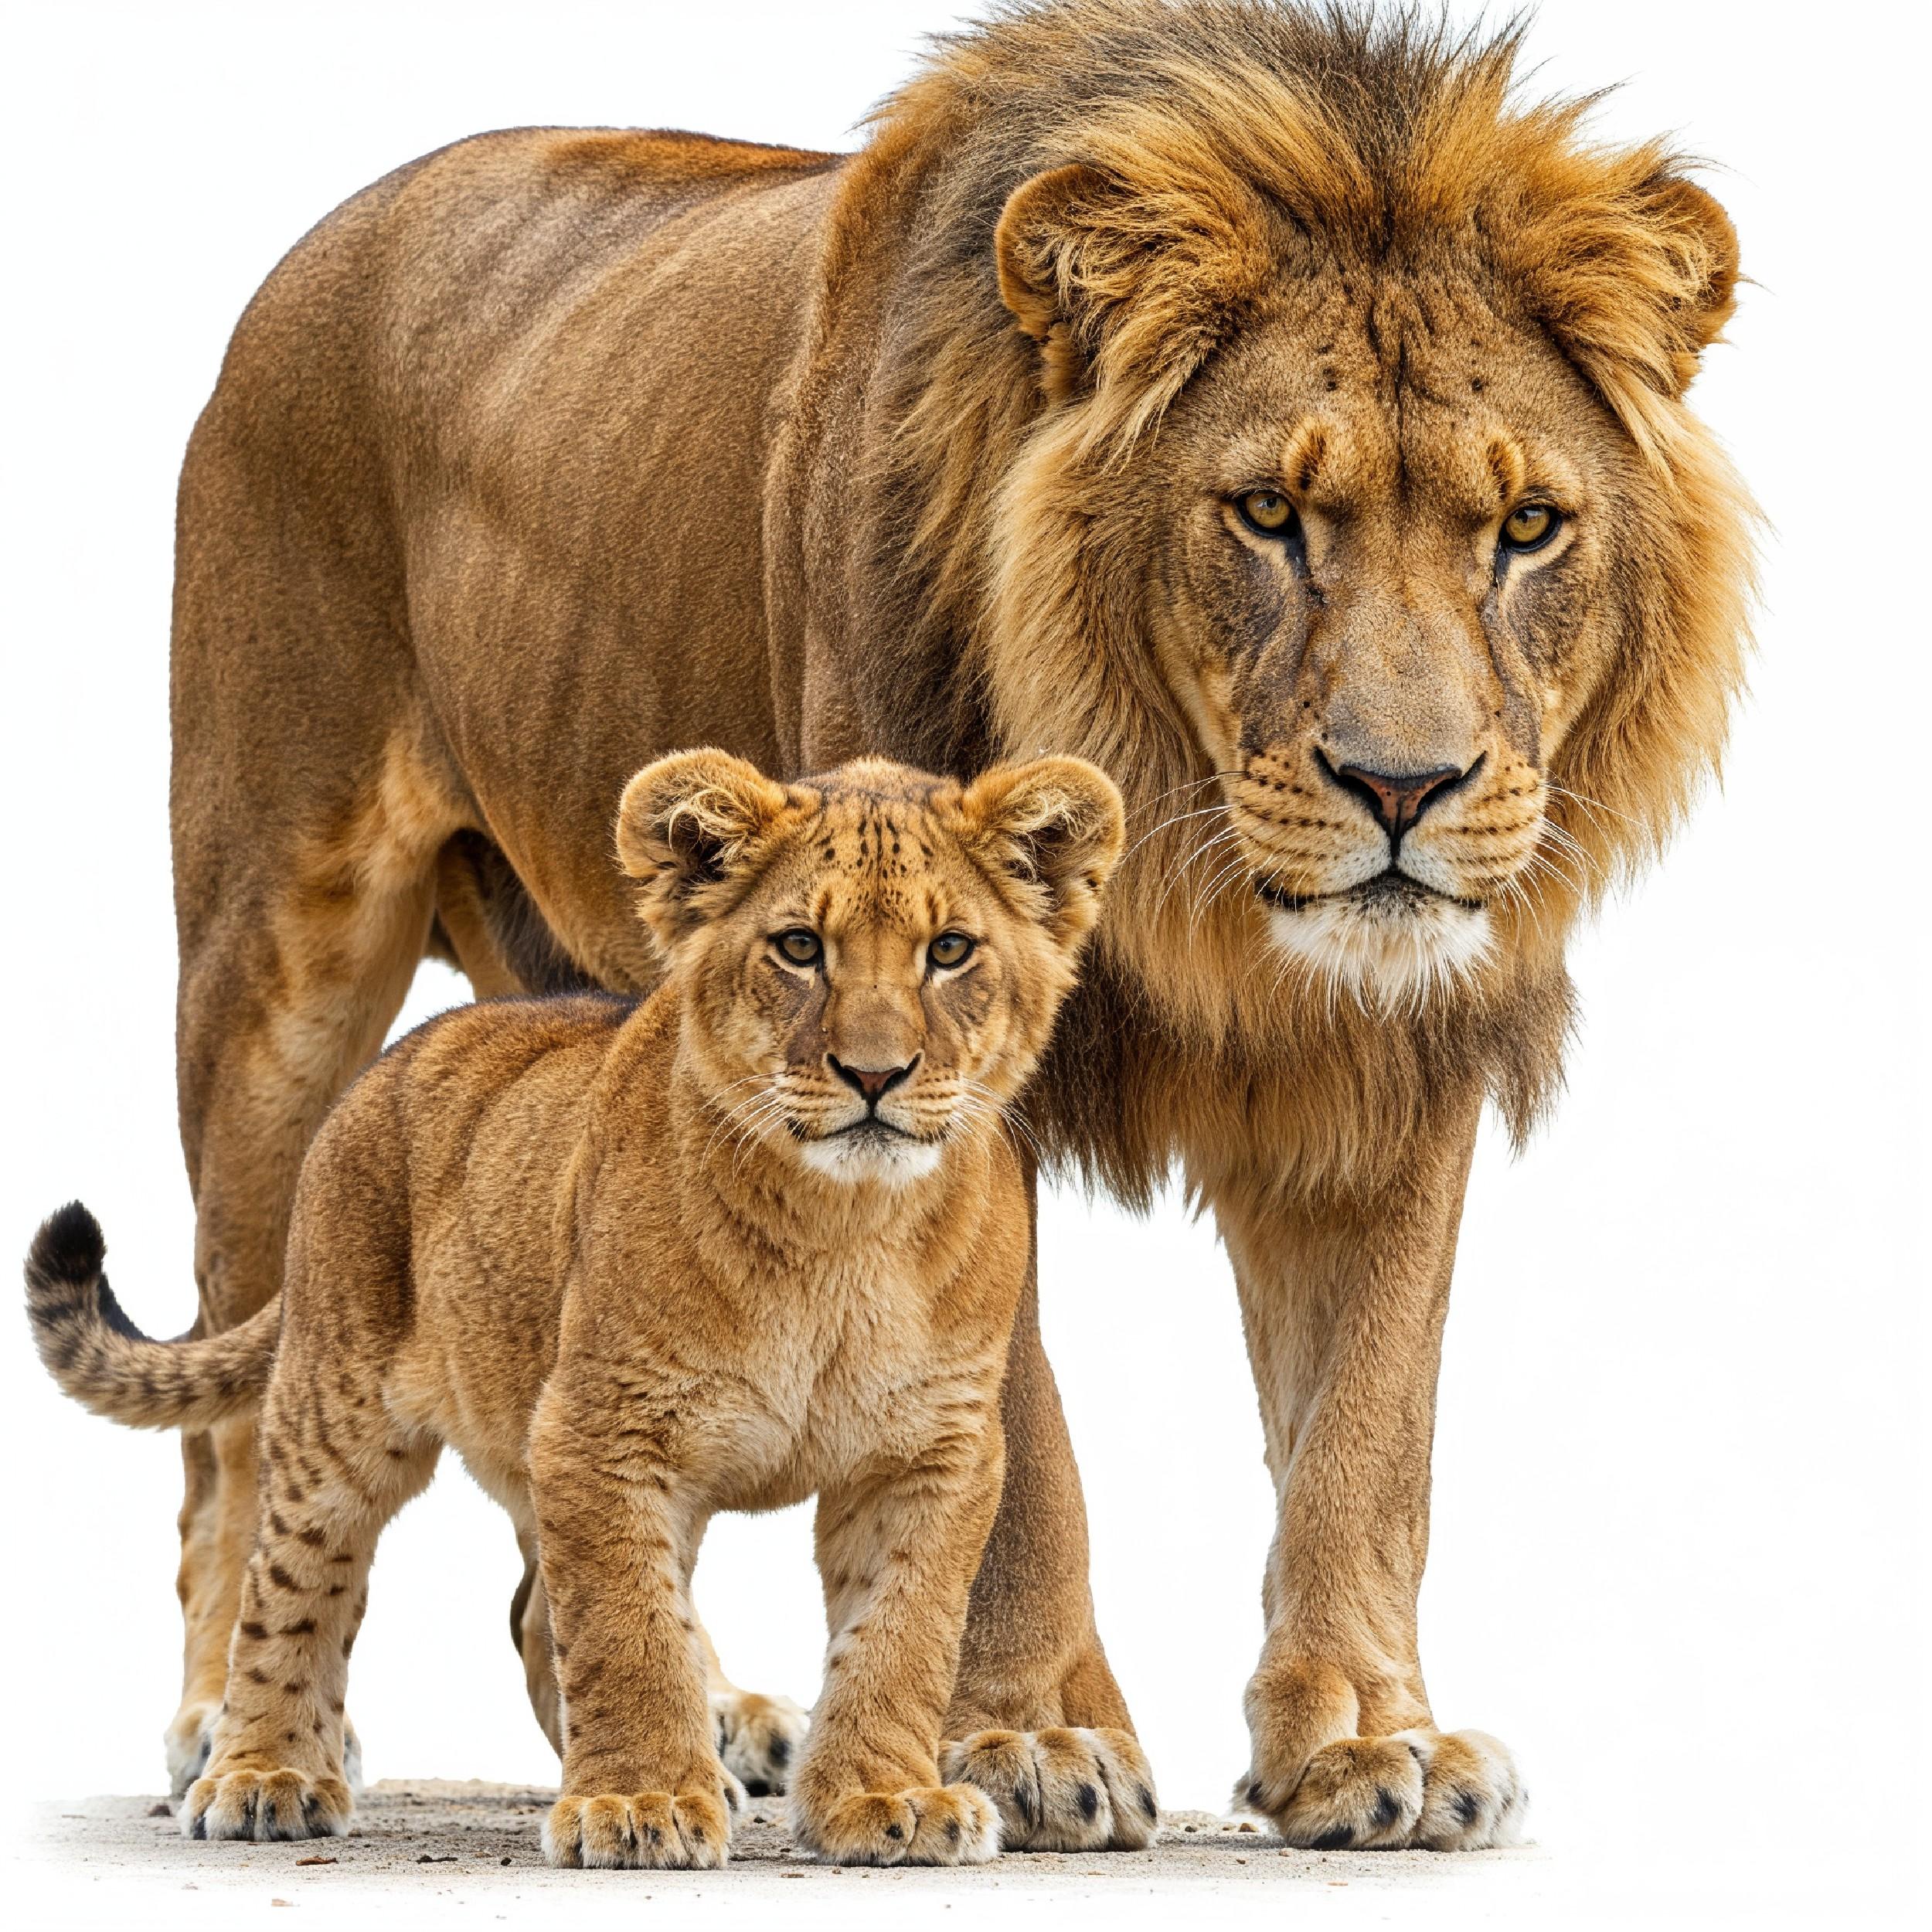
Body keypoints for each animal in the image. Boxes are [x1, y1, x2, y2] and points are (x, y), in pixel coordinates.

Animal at [28, 749, 1137, 1868]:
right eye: (799, 947)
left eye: (950, 951)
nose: (875, 1074)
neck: (845, 1232)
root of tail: (395, 1057)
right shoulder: (600, 1428)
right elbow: (626, 1628)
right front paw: (639, 1804)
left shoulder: (929, 1451)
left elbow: (899, 1635)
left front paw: (881, 1799)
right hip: (338, 1399)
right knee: (293, 1581)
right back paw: (263, 1776)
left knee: (539, 1612)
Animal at [150, 0, 1752, 1850]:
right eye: (1268, 514)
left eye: (1527, 528)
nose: (1403, 787)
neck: (1207, 907)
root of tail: (325, 236)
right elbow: (1023, 1441)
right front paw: (1033, 1736)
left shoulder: (1395, 1064)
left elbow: (1369, 1427)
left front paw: (1367, 1743)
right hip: (275, 955)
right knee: (245, 1411)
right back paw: (237, 1731)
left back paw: (701, 1728)